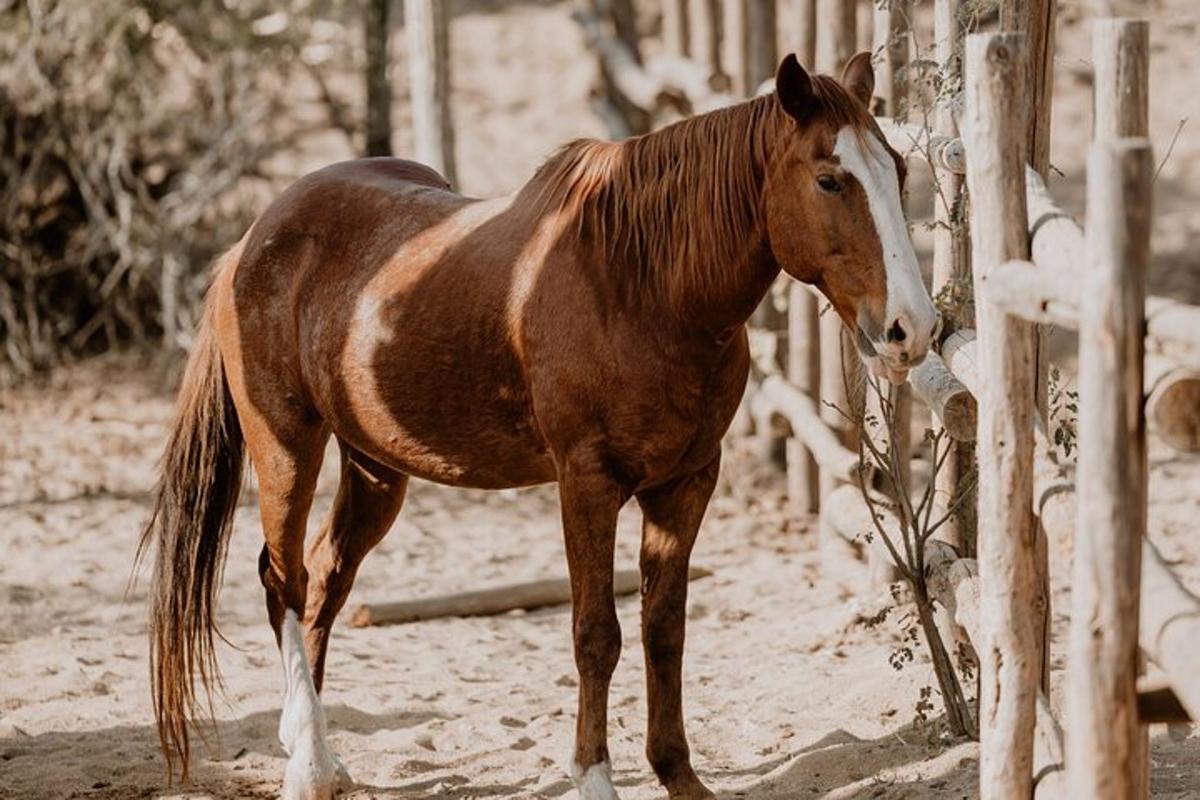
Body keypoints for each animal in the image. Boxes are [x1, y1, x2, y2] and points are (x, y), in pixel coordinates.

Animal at [140, 51, 940, 800]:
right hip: (286, 444)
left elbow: (664, 629)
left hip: (375, 467)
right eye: (830, 180)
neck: (643, 286)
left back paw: (318, 751)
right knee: (286, 580)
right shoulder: (586, 483)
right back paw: (307, 763)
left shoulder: (686, 483)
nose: (912, 328)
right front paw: (594, 774)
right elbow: (596, 634)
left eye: (897, 171)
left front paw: (678, 773)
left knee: (328, 579)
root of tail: (252, 240)